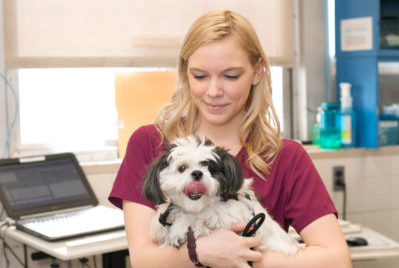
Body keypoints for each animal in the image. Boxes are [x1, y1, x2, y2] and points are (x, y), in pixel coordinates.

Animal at [142, 135, 298, 254]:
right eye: (182, 168)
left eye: (210, 168)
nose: (197, 173)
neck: (196, 207)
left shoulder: (233, 217)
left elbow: (207, 216)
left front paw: (181, 227)